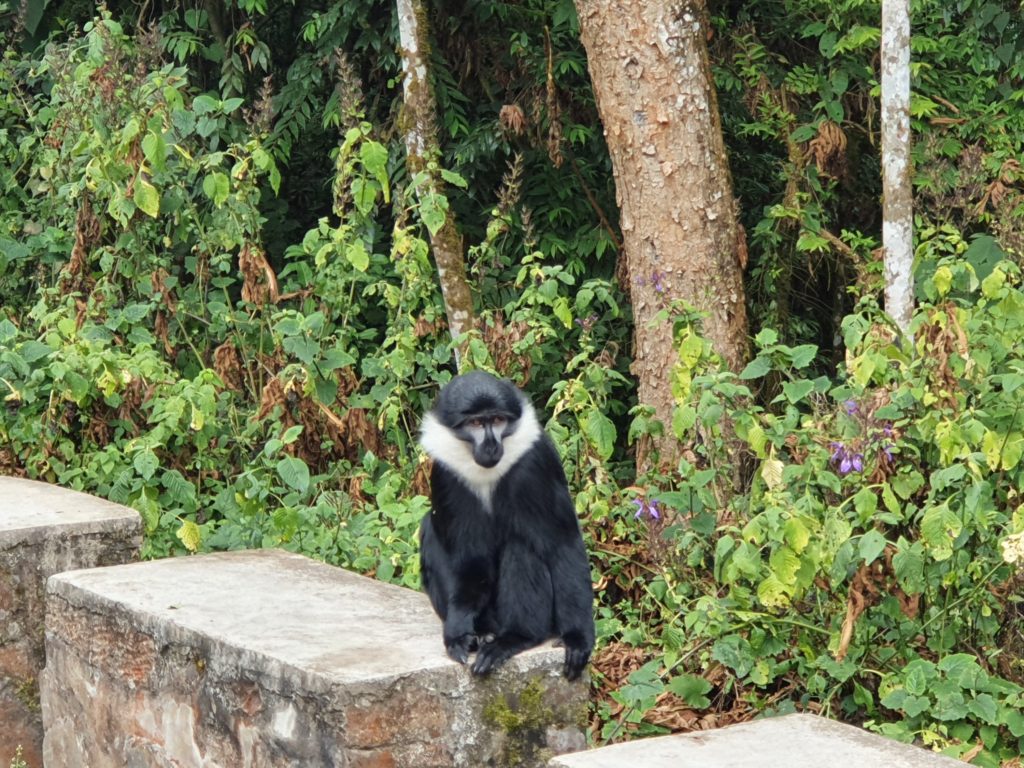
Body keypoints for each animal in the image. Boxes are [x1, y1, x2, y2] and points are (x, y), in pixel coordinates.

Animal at [419, 372, 598, 679]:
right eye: (476, 424)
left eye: (498, 420)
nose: (491, 444)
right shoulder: (445, 474)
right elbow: (469, 560)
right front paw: (458, 634)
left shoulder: (537, 462)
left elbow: (562, 543)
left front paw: (578, 640)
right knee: (429, 531)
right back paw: (484, 634)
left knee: (520, 547)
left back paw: (514, 638)